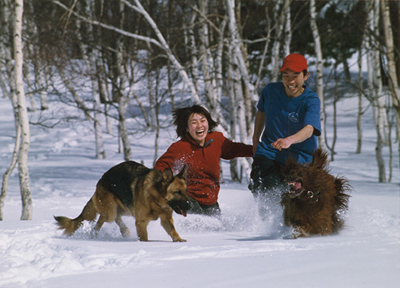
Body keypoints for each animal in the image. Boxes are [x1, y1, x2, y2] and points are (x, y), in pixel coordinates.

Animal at [54, 161, 191, 242]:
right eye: (177, 192)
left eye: (186, 191)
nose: (190, 206)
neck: (156, 197)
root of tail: (101, 179)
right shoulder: (141, 222)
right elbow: (144, 237)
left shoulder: (166, 219)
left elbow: (173, 230)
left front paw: (178, 240)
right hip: (110, 211)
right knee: (100, 222)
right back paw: (94, 235)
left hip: (124, 208)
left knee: (117, 218)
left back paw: (125, 231)